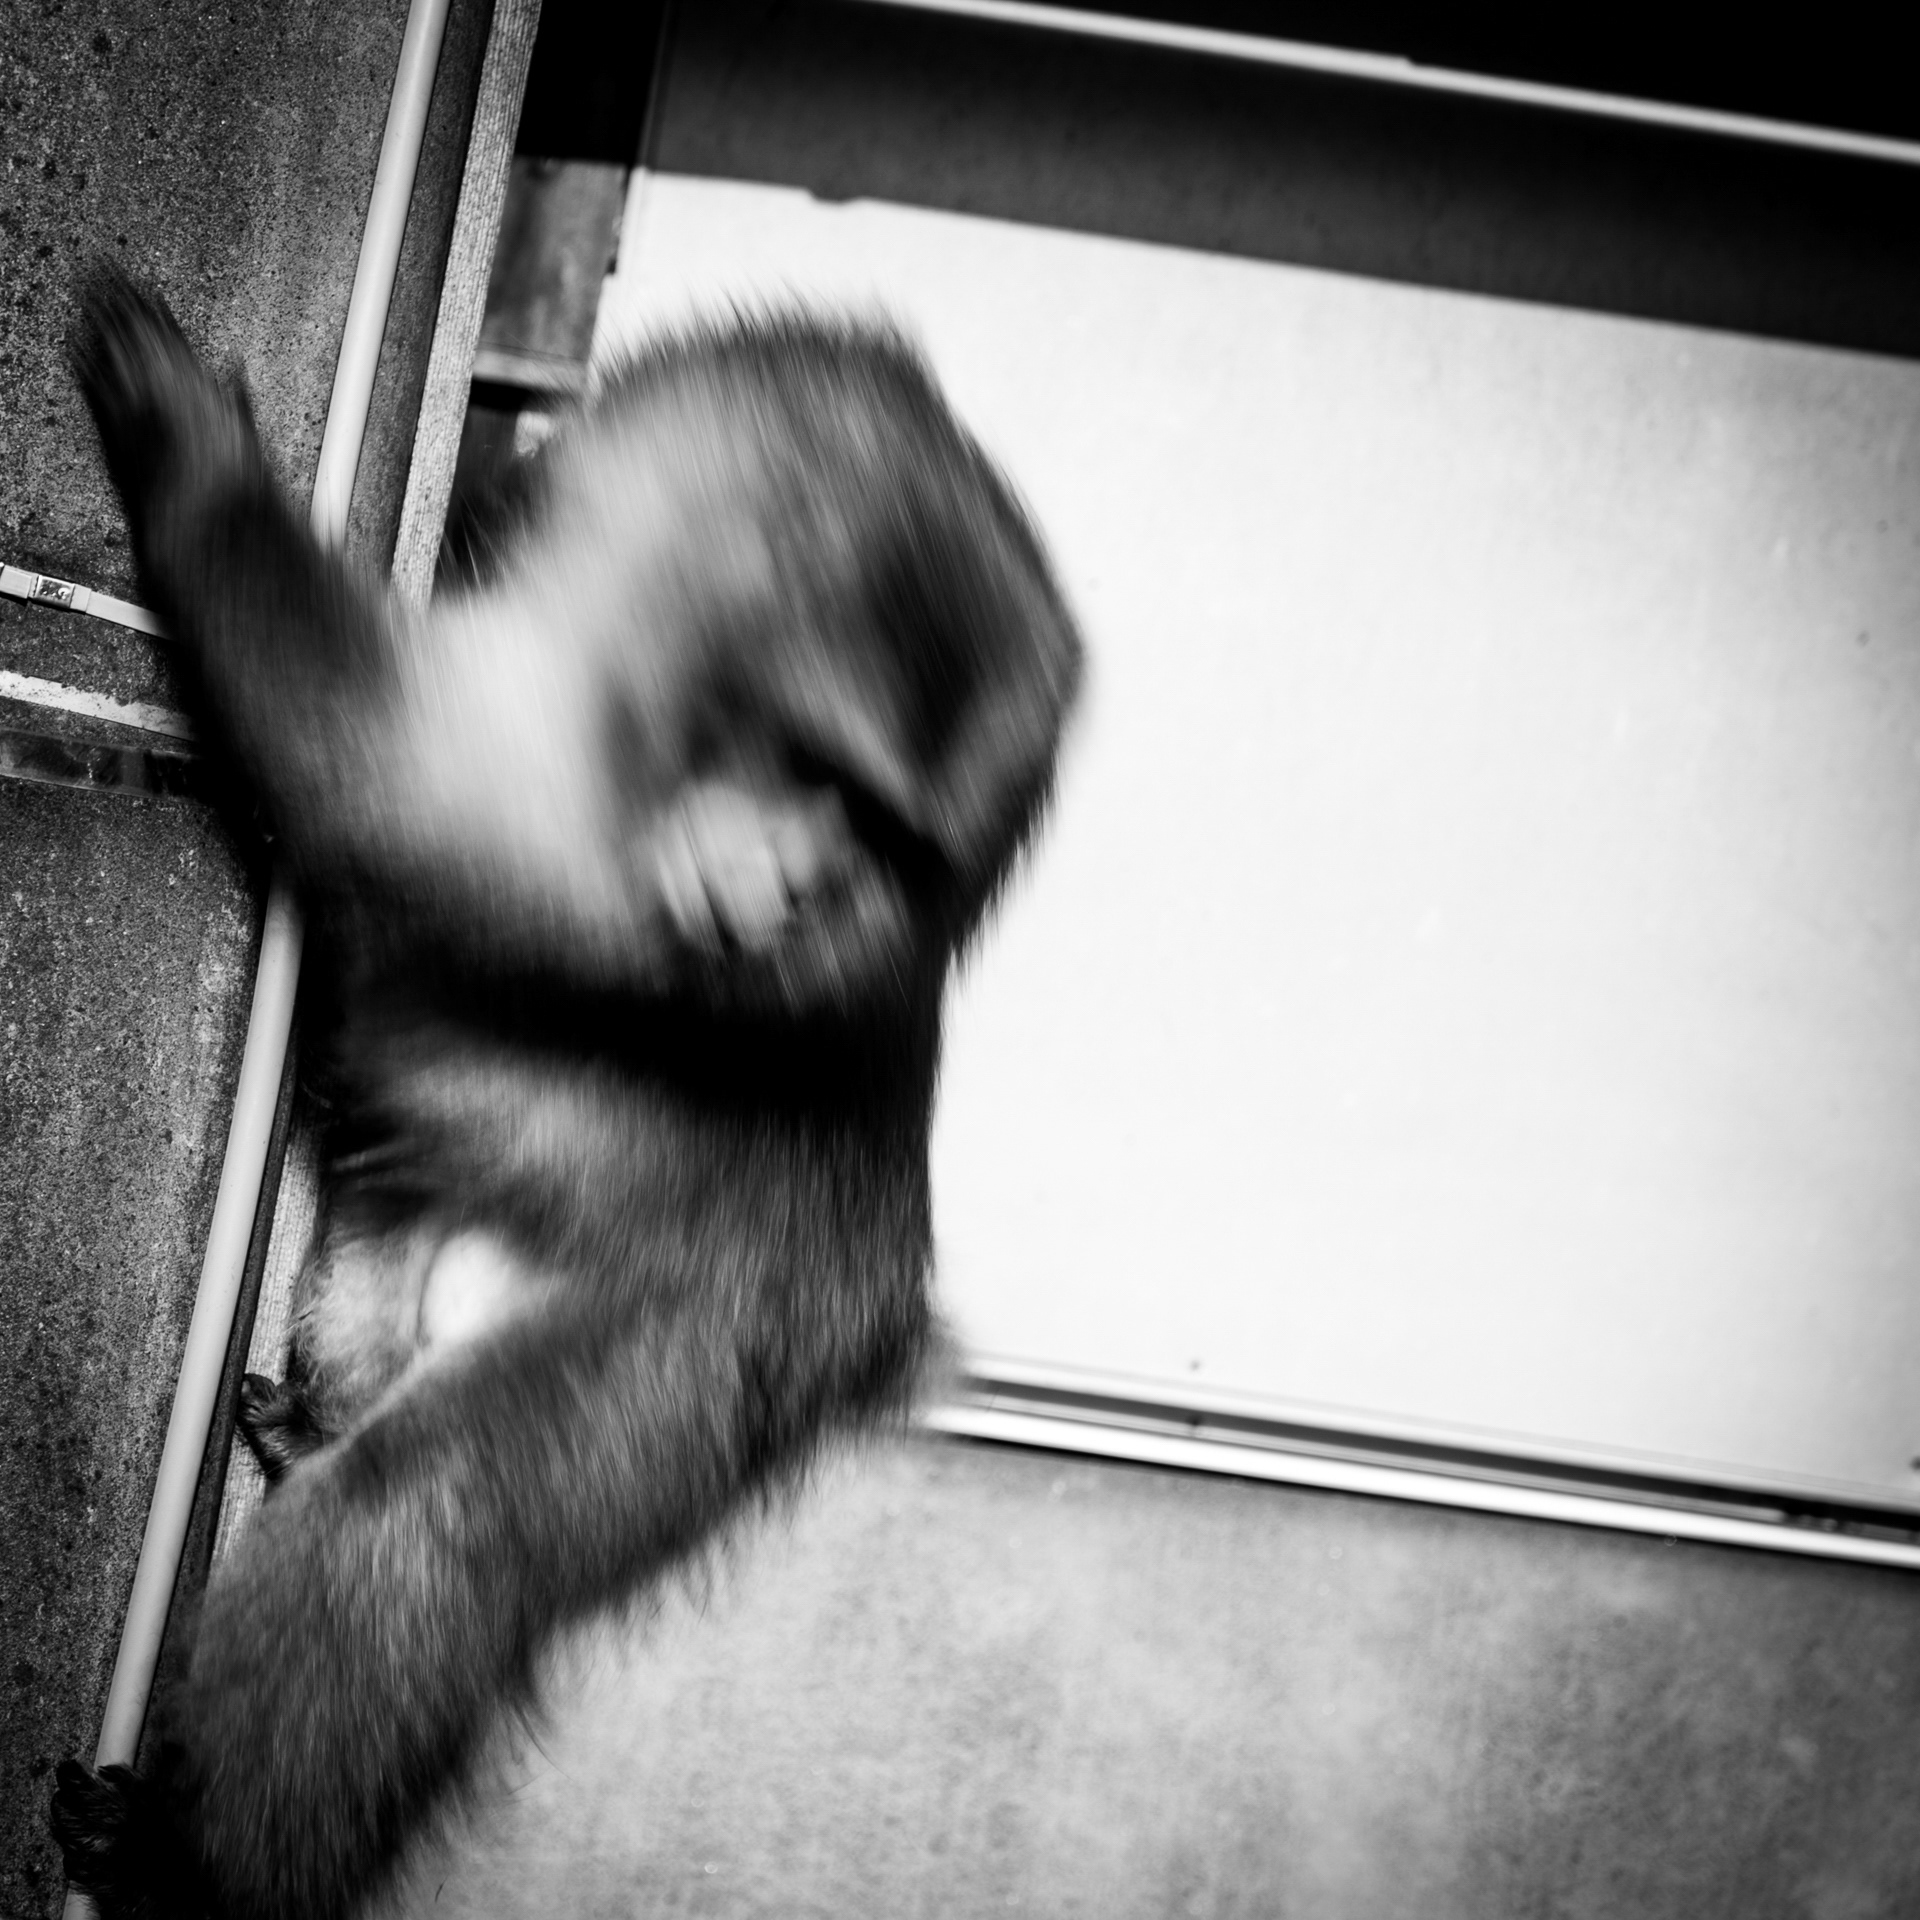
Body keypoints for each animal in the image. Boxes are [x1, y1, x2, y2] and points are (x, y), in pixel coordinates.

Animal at [49, 270, 1081, 1920]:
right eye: (826, 778)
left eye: (877, 827)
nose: (807, 888)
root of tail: (875, 1321)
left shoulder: (596, 830)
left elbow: (383, 785)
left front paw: (195, 464)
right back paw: (323, 1408)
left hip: (696, 1354)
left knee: (408, 1526)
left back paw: (188, 1871)